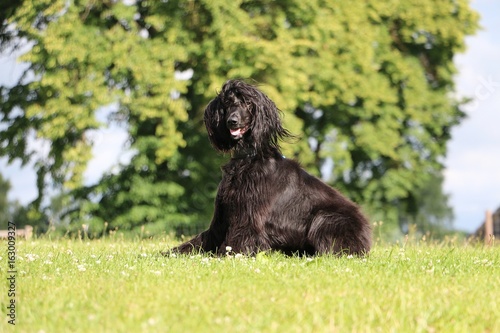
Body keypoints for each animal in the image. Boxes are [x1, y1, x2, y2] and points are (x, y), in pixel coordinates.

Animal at [170, 80, 370, 254]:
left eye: (247, 104)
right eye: (227, 103)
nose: (232, 121)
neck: (247, 159)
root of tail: (367, 236)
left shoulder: (250, 219)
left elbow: (235, 244)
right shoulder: (221, 220)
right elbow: (197, 242)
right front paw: (168, 254)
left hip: (325, 218)